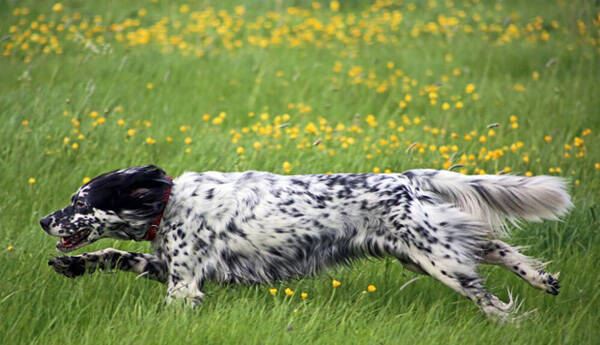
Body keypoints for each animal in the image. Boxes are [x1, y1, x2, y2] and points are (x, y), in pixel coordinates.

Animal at [41, 165, 572, 318]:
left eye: (80, 201)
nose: (45, 220)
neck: (168, 203)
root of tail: (405, 178)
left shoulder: (184, 283)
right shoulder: (168, 266)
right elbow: (117, 254)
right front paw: (76, 265)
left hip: (439, 259)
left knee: (493, 302)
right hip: (423, 253)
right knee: (496, 249)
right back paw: (543, 279)